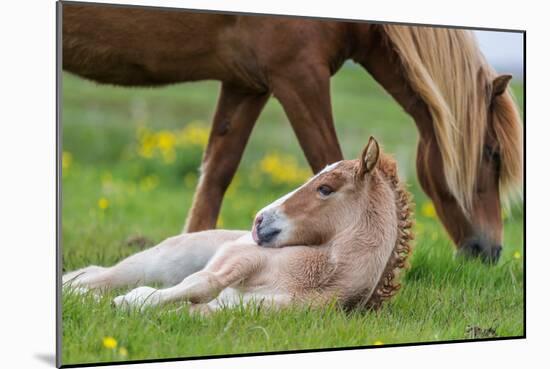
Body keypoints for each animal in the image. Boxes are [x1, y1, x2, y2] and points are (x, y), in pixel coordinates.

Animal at [62, 2, 524, 262]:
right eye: (491, 153)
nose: (490, 251)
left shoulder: (247, 85)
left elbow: (217, 172)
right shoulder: (298, 77)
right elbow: (330, 157)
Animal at [63, 137, 414, 310]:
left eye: (325, 188)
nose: (259, 221)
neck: (318, 277)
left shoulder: (240, 312)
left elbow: (195, 308)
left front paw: (127, 304)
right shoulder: (239, 259)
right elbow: (204, 283)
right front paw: (130, 300)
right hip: (159, 262)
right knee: (99, 275)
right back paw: (80, 293)